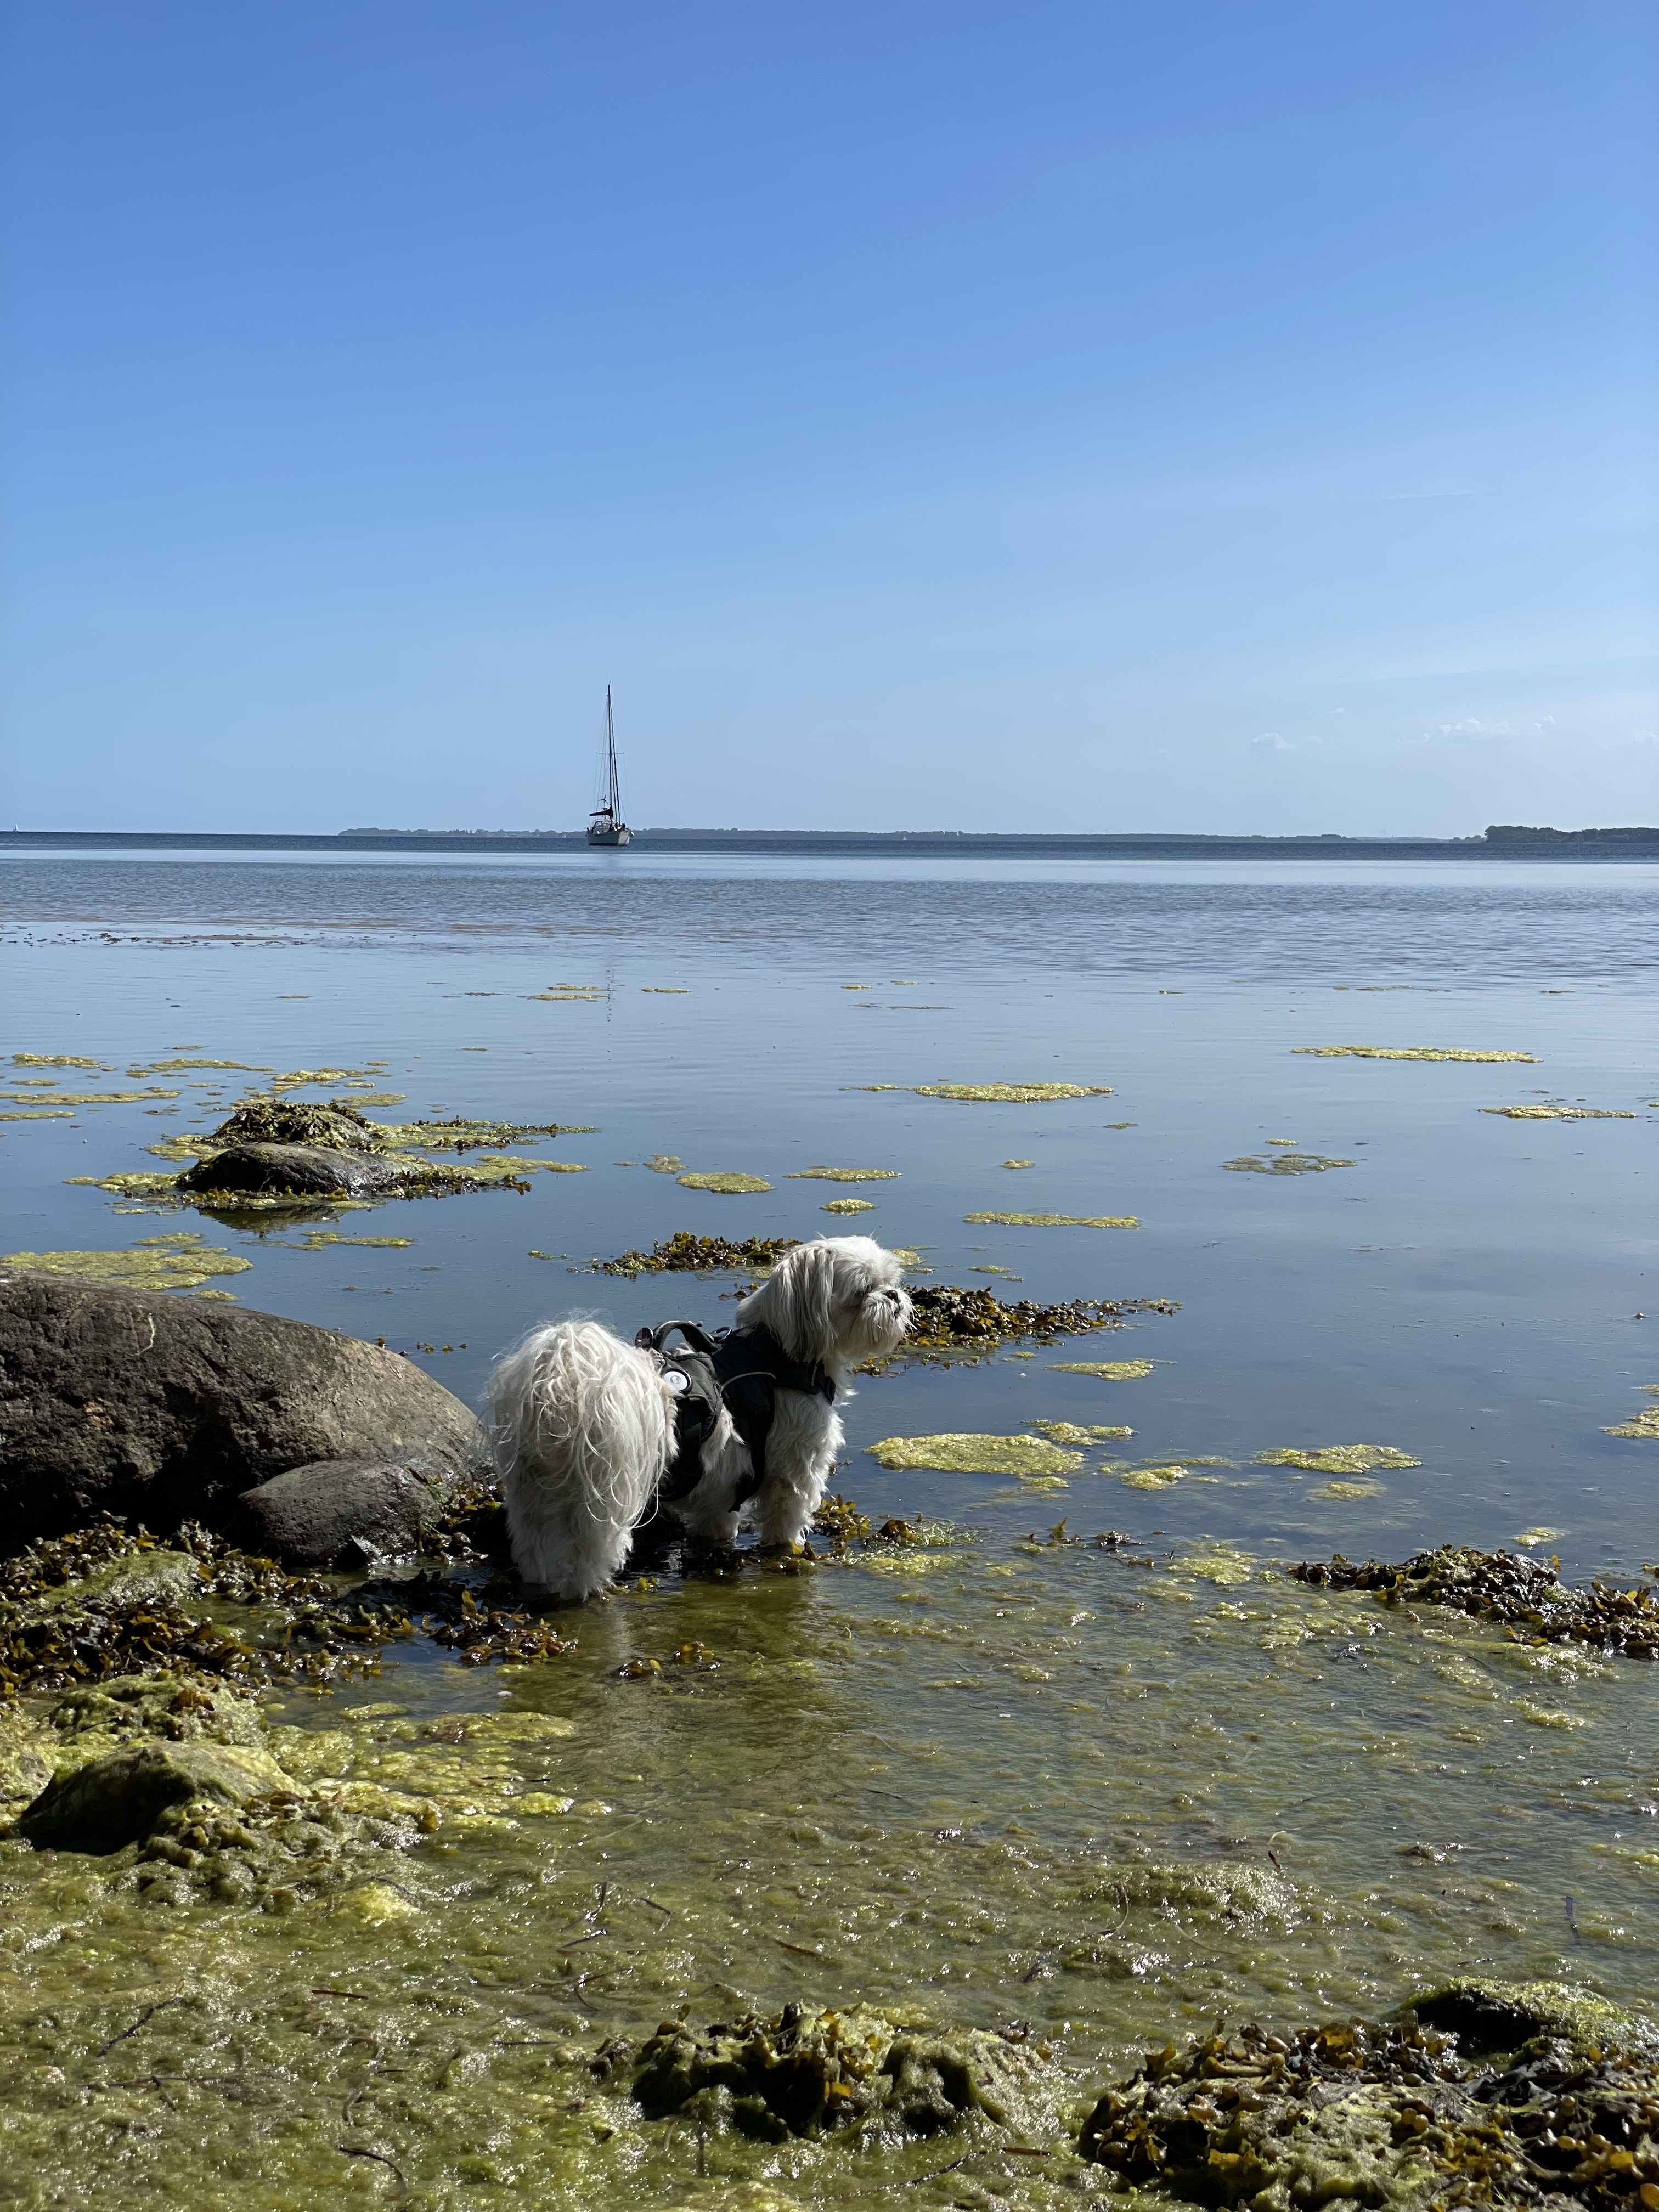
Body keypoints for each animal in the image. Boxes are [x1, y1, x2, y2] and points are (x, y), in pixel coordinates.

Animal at [487, 1236, 912, 1601]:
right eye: (862, 1292)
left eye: (890, 1283)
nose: (893, 1296)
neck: (777, 1353)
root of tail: (563, 1389)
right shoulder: (795, 1470)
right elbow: (785, 1519)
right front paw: (785, 1550)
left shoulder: (721, 1489)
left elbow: (716, 1525)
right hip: (603, 1498)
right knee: (586, 1556)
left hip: (533, 1498)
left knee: (535, 1546)